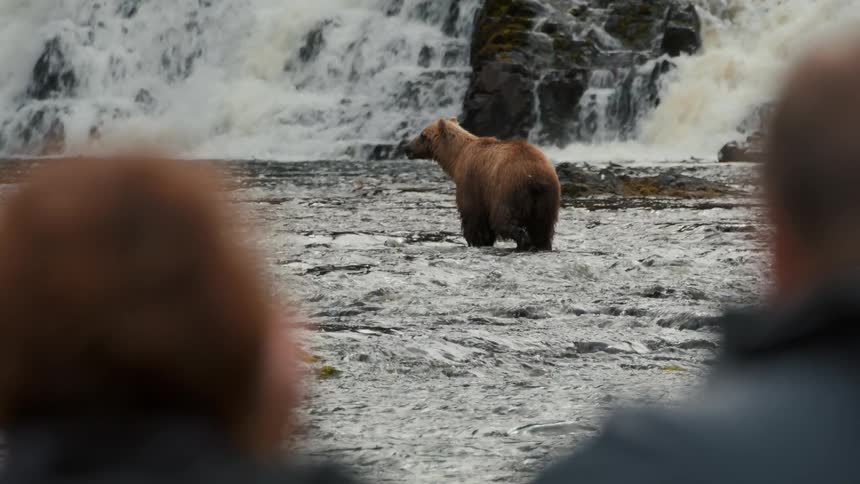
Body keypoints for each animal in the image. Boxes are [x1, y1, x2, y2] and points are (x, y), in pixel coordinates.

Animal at [403, 118, 561, 251]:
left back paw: (522, 241)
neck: (456, 158)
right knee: (543, 229)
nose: (407, 148)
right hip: (548, 199)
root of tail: (536, 176)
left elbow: (473, 215)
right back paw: (541, 245)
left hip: (508, 190)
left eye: (422, 135)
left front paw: (476, 241)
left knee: (503, 219)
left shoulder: (471, 182)